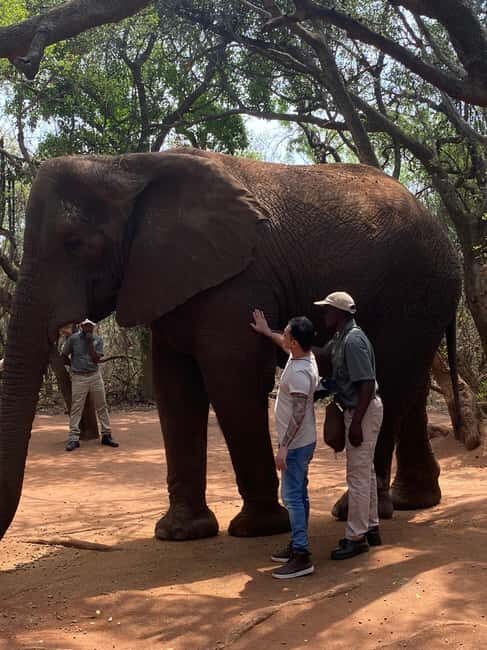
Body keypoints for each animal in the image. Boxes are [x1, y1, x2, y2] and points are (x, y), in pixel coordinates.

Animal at [0, 148, 461, 542]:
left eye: (75, 243)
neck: (129, 165)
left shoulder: (238, 284)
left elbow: (231, 379)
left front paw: (257, 529)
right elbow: (174, 387)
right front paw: (179, 533)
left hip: (413, 287)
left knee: (391, 380)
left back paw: (355, 511)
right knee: (411, 383)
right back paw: (411, 502)